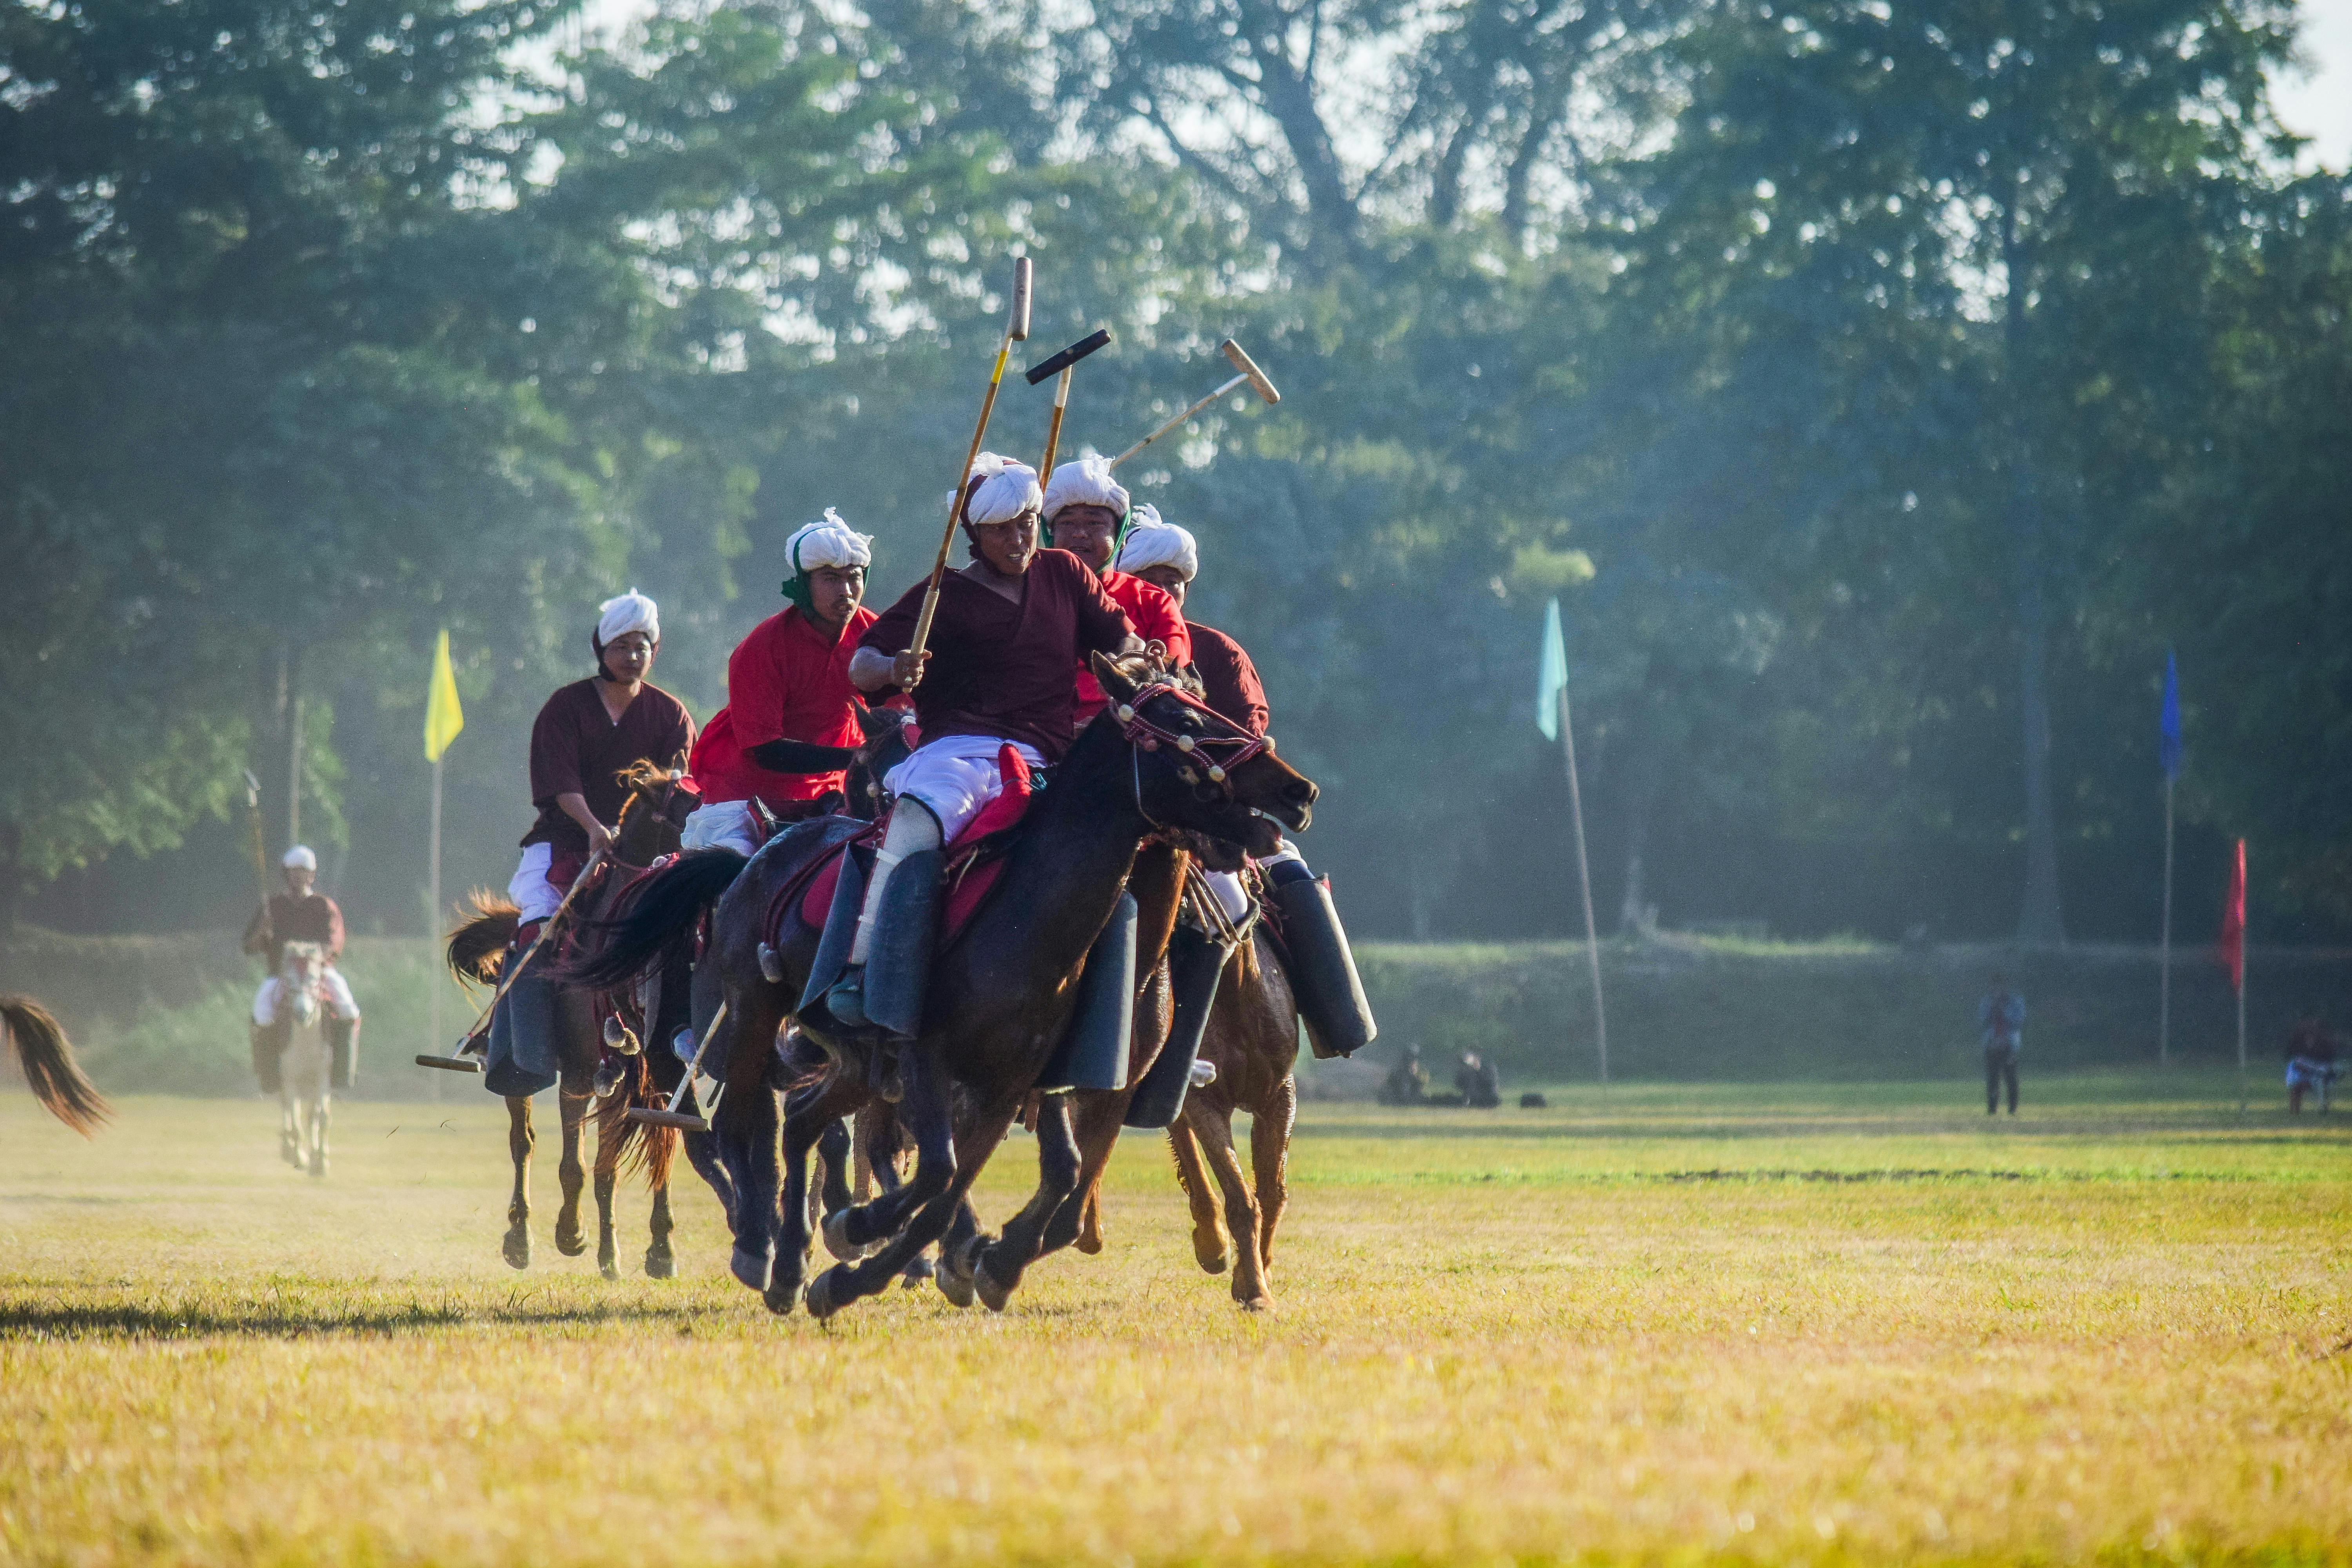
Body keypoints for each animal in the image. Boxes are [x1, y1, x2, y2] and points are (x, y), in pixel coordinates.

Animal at [262, 945, 336, 1175]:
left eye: (315, 980)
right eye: (289, 980)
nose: (302, 1014)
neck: (306, 1044)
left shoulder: (322, 1077)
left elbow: (319, 1117)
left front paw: (320, 1163)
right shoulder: (290, 1078)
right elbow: (295, 1122)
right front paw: (300, 1158)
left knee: (317, 1115)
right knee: (287, 1111)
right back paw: (290, 1150)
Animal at [442, 766, 710, 1279]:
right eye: (684, 811)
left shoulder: (649, 1078)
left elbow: (650, 1153)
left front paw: (656, 1248)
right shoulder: (585, 1073)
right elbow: (579, 1166)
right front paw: (575, 1235)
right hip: (525, 1058)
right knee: (523, 1141)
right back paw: (520, 1237)